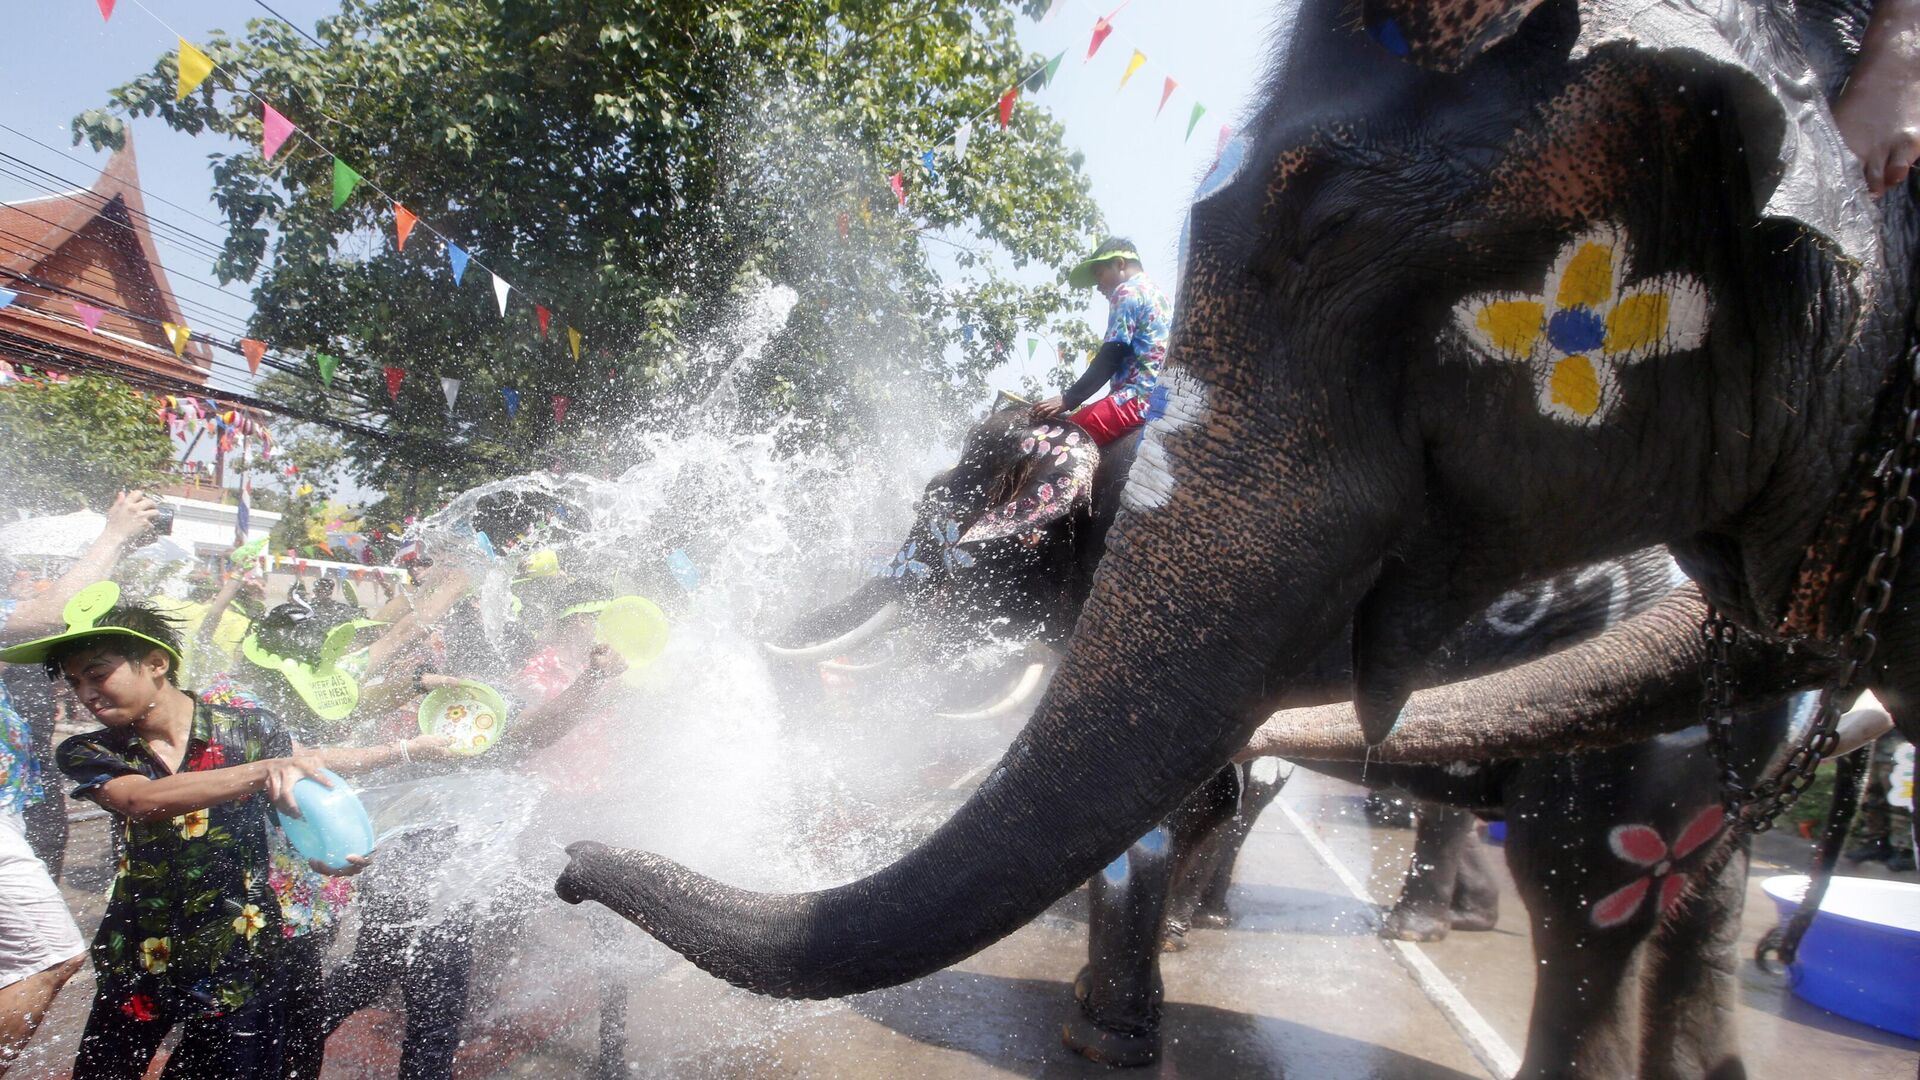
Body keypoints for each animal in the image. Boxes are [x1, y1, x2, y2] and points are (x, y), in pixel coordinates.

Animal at [556, 0, 1920, 1060]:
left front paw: (1104, 1032)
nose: (564, 873)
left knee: (1593, 885)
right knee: (1695, 898)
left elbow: (1182, 792)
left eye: (943, 521)